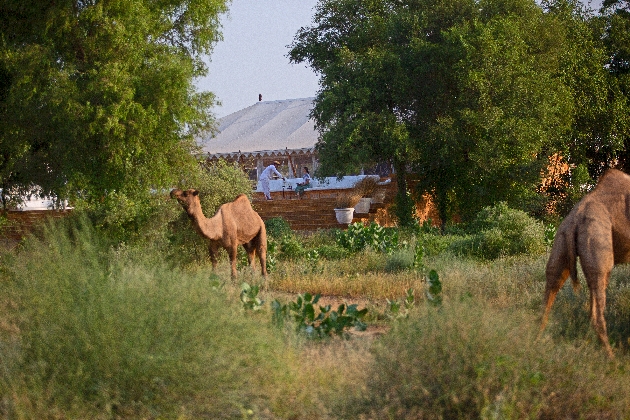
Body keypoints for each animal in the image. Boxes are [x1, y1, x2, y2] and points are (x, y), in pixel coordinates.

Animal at [540, 168, 630, 358]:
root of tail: (575, 219)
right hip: (598, 247)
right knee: (596, 311)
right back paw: (612, 358)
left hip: (561, 242)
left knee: (550, 288)